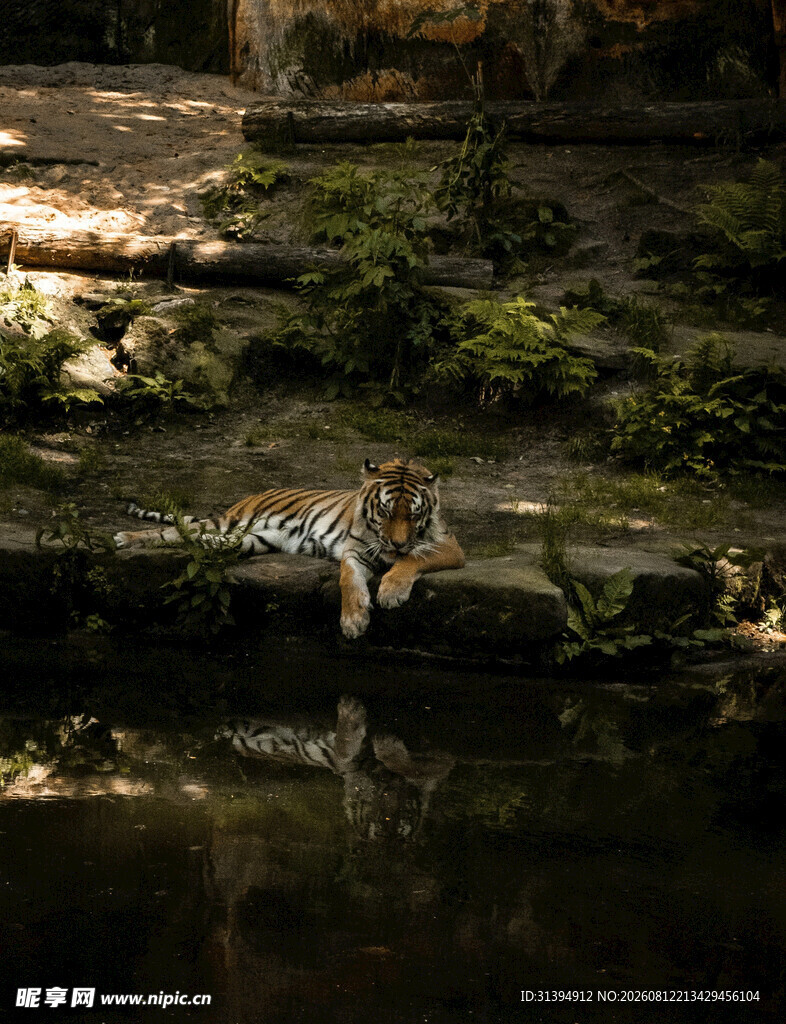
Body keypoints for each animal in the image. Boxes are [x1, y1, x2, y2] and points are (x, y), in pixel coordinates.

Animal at [113, 457, 465, 638]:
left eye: (413, 514)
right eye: (386, 511)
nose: (396, 543)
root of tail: (255, 494)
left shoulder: (448, 546)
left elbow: (412, 559)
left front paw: (390, 592)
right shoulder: (355, 551)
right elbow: (348, 581)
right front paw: (353, 620)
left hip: (245, 539)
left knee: (193, 537)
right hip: (229, 525)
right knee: (174, 529)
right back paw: (125, 539)